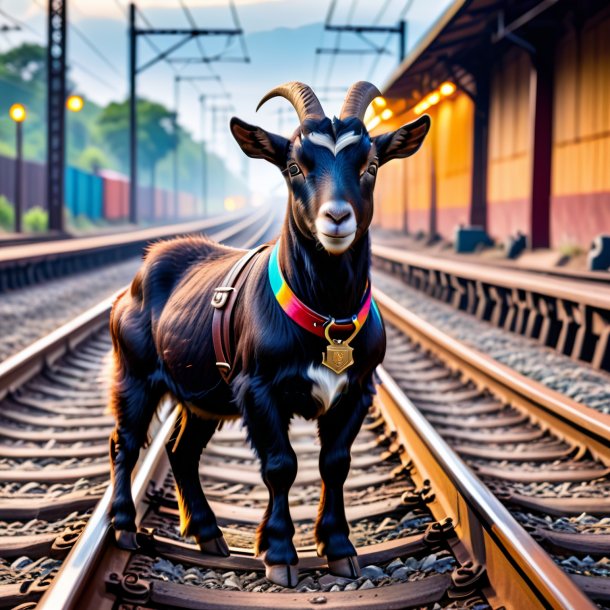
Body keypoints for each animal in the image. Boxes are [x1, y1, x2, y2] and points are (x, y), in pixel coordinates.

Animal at [107, 81, 428, 584]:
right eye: (295, 166)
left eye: (371, 165)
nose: (337, 217)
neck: (328, 319)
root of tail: (144, 267)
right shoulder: (256, 387)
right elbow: (281, 465)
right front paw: (279, 555)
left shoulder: (358, 388)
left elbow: (335, 464)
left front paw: (340, 550)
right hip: (134, 371)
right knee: (126, 441)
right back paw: (123, 527)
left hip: (203, 395)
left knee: (181, 450)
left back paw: (209, 535)